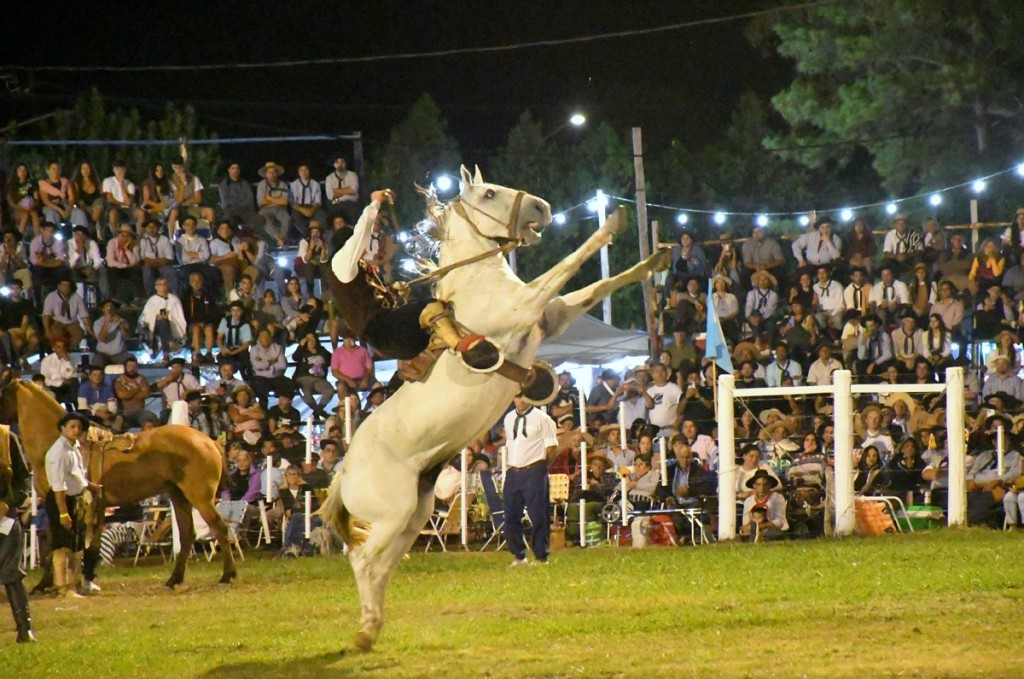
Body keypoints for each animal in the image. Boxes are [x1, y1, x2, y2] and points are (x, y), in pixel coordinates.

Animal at [1, 374, 235, 585]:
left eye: (2, 392)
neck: (58, 443)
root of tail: (208, 441)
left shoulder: (58, 506)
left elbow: (56, 546)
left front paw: (45, 584)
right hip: (179, 496)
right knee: (187, 534)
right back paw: (174, 579)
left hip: (200, 498)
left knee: (220, 528)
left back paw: (227, 575)